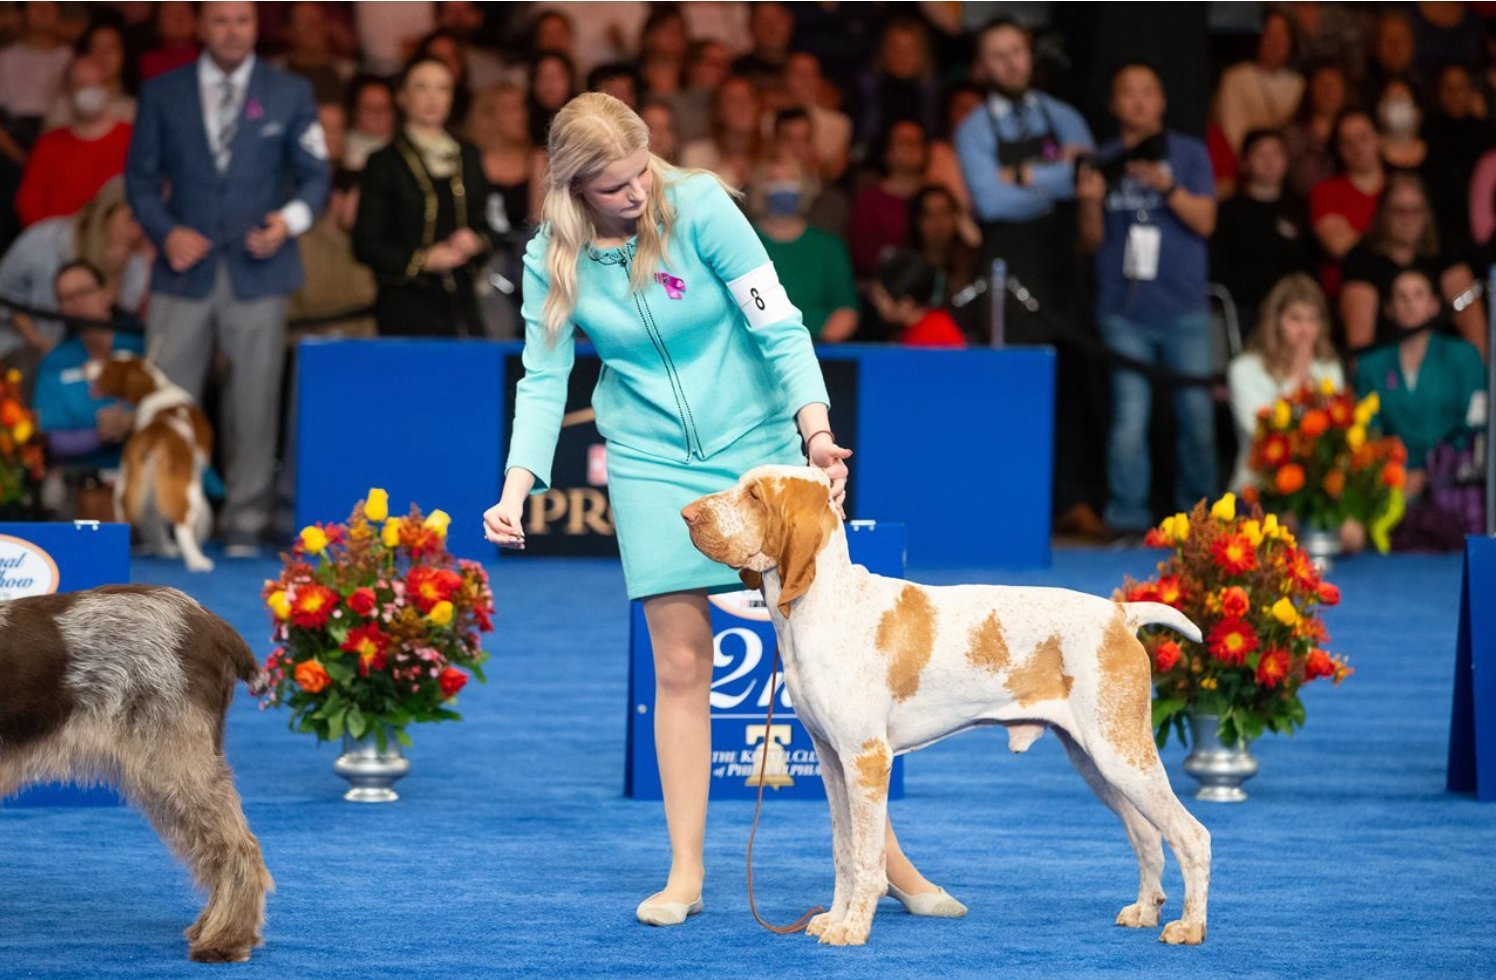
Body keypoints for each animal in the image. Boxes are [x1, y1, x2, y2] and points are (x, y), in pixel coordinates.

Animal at [86, 356, 216, 574]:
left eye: (108, 366)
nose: (85, 365)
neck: (156, 388)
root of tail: (155, 431)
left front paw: (162, 548)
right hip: (186, 488)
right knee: (182, 525)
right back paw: (197, 561)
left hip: (126, 486)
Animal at [685, 466, 1208, 951]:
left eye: (755, 495)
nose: (687, 514)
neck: (824, 606)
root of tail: (1120, 615)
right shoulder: (832, 763)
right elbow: (842, 853)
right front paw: (834, 918)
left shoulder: (866, 761)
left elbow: (866, 859)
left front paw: (853, 928)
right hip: (1097, 762)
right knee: (1148, 836)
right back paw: (1145, 911)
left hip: (1122, 756)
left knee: (1192, 836)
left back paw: (1190, 926)